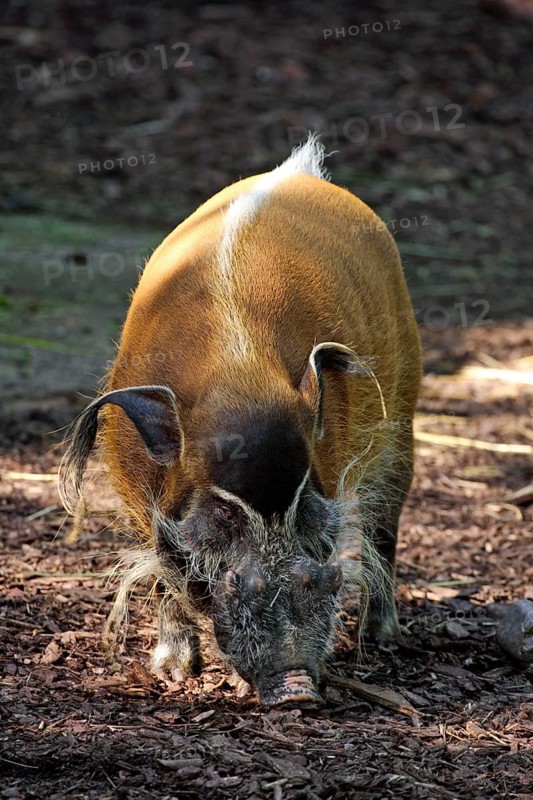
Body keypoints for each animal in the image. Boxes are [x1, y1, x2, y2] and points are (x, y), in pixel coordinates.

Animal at [60, 135, 422, 706]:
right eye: (225, 513)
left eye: (303, 504)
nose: (297, 690)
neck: (237, 375)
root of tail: (300, 171)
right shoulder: (134, 488)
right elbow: (162, 571)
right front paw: (174, 671)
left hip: (402, 415)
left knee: (386, 522)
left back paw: (381, 636)